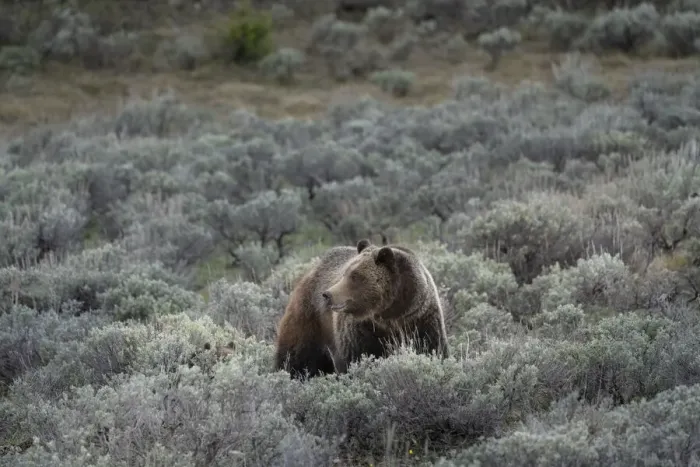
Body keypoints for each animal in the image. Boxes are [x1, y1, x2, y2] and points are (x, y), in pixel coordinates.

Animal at [274, 238, 449, 379]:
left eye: (355, 276)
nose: (327, 294)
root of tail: (310, 271)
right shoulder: (361, 330)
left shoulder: (420, 319)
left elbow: (431, 348)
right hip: (309, 318)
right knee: (296, 355)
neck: (390, 314)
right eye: (345, 273)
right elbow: (357, 358)